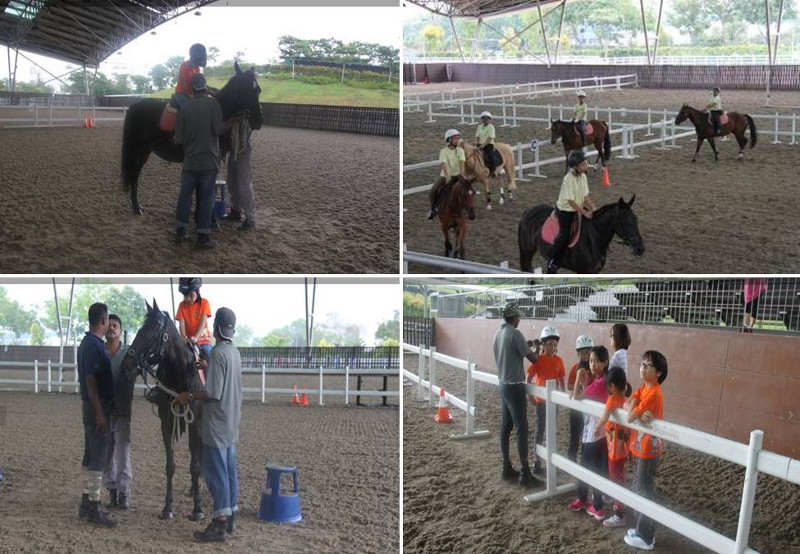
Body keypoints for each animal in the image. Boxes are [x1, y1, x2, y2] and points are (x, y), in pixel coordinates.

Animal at [120, 300, 206, 520]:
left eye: (149, 333)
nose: (127, 364)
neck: (182, 375)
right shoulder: (166, 422)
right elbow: (170, 465)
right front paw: (167, 508)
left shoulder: (195, 424)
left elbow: (194, 466)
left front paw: (198, 509)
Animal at [122, 62, 264, 213]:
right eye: (243, 89)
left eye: (258, 90)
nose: (259, 120)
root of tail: (135, 105)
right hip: (136, 148)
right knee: (134, 173)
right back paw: (136, 207)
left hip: (145, 150)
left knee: (136, 173)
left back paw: (137, 206)